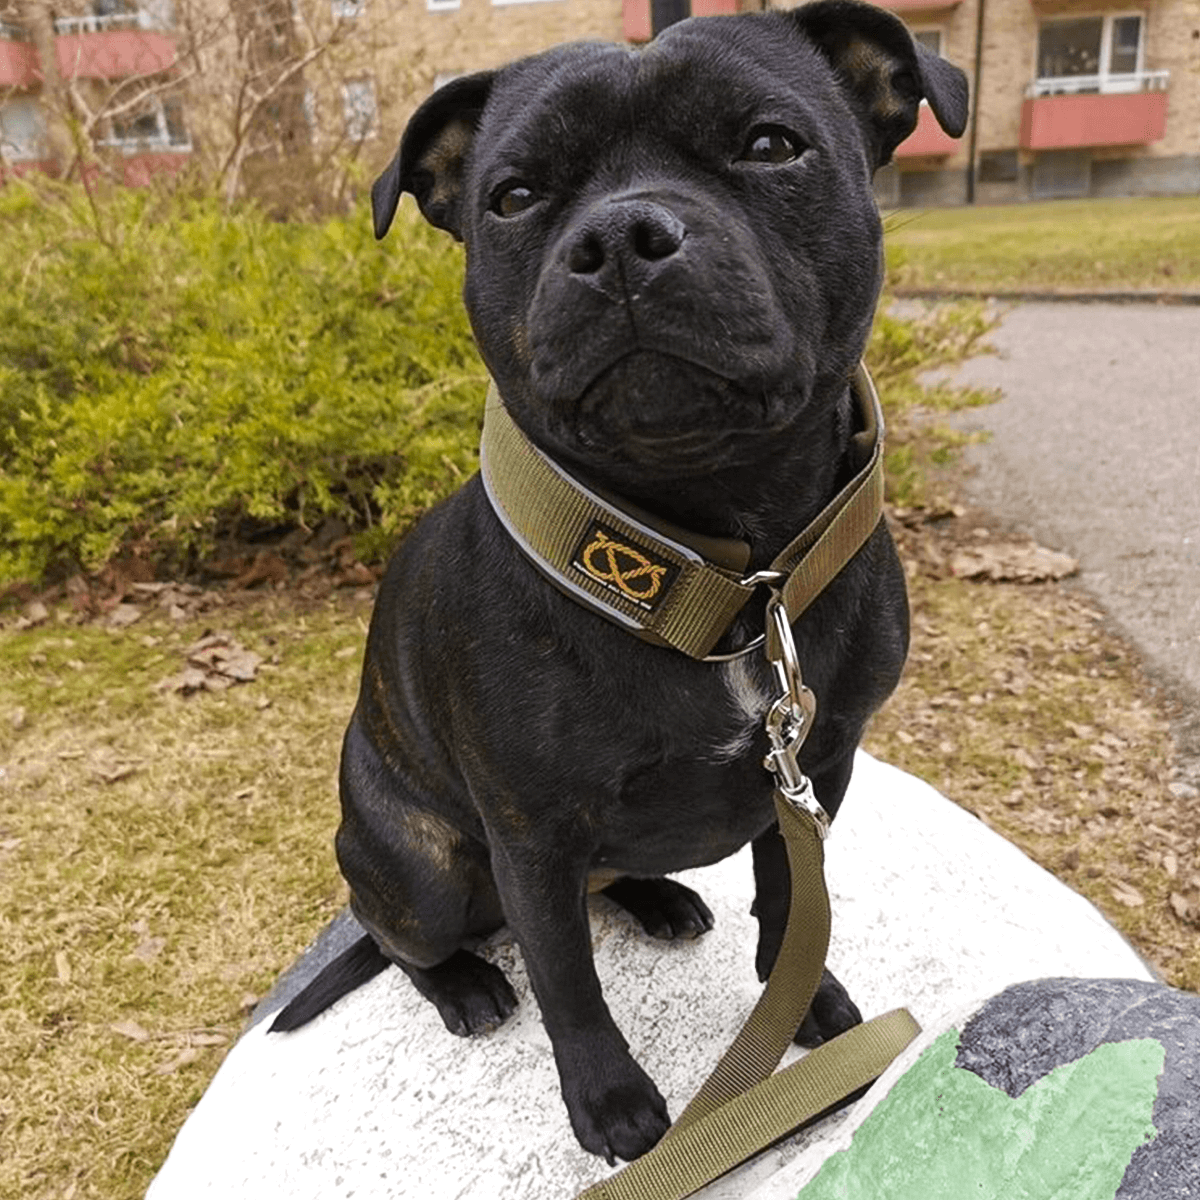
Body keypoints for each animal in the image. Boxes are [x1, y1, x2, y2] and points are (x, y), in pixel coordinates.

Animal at [272, 0, 964, 1161]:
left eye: (770, 143)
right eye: (513, 196)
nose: (619, 240)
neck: (718, 574)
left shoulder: (817, 763)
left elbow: (792, 901)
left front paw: (806, 1002)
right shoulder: (532, 837)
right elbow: (567, 982)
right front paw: (610, 1103)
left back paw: (655, 897)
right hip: (420, 864)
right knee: (404, 937)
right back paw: (465, 983)